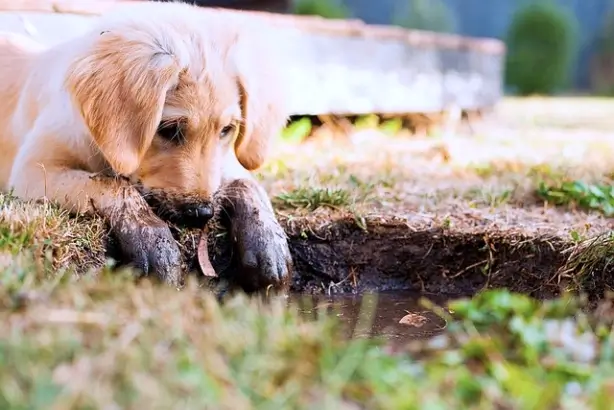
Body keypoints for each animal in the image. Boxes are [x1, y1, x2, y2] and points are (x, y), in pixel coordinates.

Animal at [0, 1, 294, 290]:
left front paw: (268, 242)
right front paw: (152, 241)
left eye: (226, 130)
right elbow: (111, 184)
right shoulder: (32, 170)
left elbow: (247, 183)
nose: (202, 214)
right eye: (169, 129)